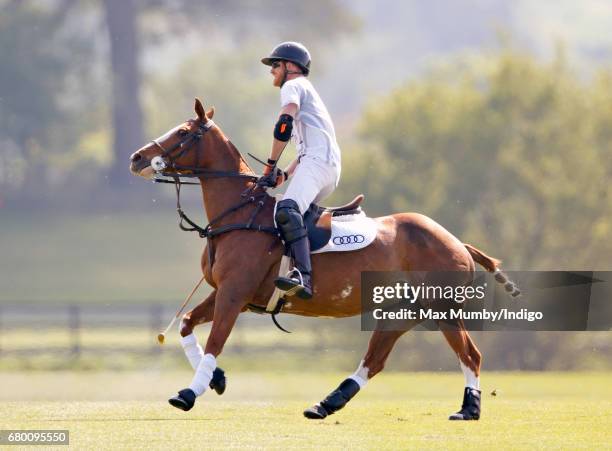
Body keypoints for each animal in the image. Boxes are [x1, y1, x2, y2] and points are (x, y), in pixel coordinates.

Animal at [130, 98, 516, 420]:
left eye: (182, 132)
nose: (136, 158)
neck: (240, 214)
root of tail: (459, 243)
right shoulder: (229, 292)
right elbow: (186, 324)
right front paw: (217, 379)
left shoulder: (234, 292)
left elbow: (215, 341)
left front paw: (189, 392)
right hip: (403, 311)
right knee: (374, 360)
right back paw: (325, 404)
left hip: (442, 308)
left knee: (470, 355)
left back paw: (468, 409)